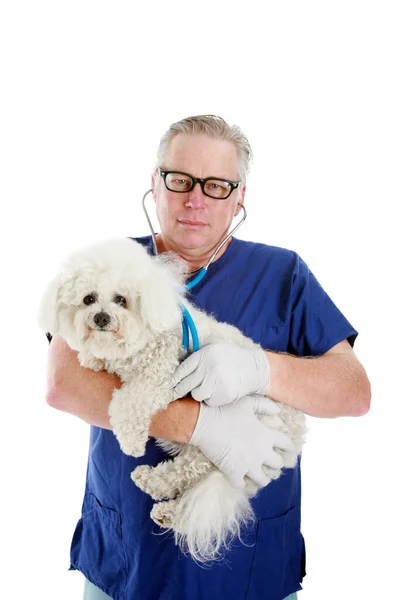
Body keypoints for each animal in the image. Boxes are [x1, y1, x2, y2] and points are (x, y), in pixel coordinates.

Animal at [39, 238, 306, 564]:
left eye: (121, 300)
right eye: (88, 298)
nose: (101, 318)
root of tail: (296, 436)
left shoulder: (161, 377)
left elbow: (128, 402)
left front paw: (131, 442)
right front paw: (92, 358)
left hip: (231, 442)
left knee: (187, 471)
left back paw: (156, 488)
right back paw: (162, 502)